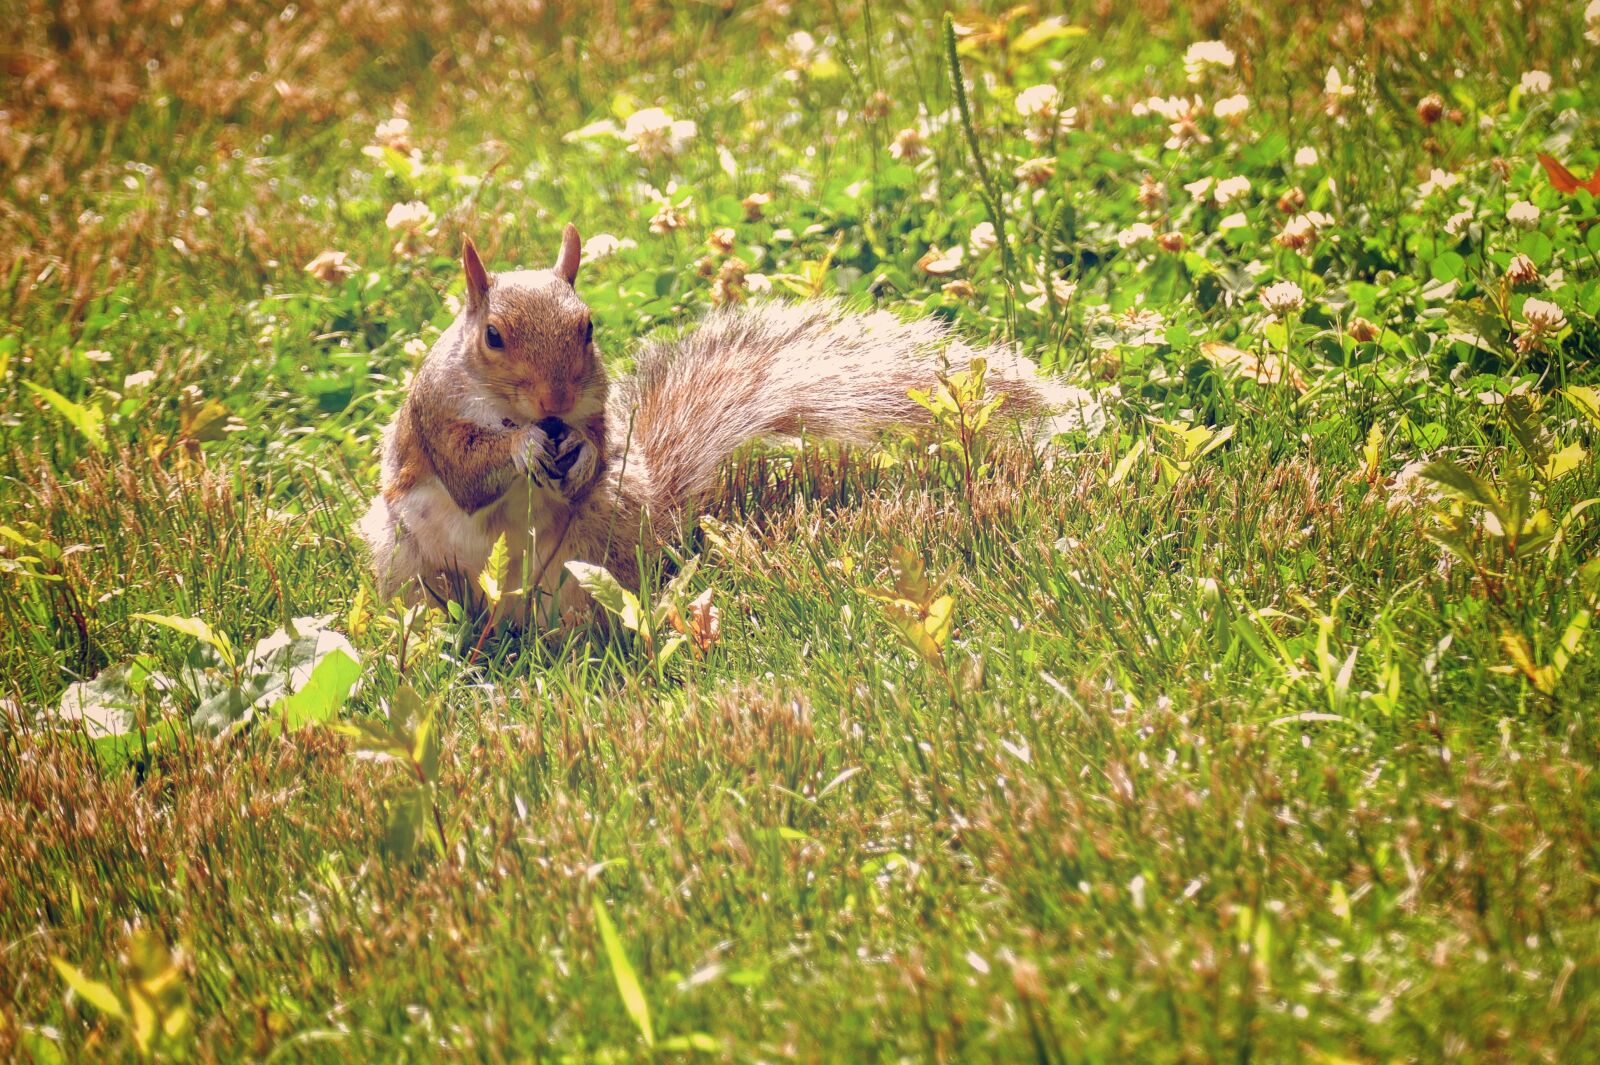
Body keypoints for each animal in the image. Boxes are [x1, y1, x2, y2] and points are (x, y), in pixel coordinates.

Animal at [358, 224, 1072, 625]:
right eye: (493, 337)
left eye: (587, 328)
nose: (556, 400)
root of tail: (511, 620)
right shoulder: (432, 417)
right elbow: (468, 470)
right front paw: (524, 444)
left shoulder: (595, 413)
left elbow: (596, 448)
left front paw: (581, 456)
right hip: (413, 565)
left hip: (592, 555)